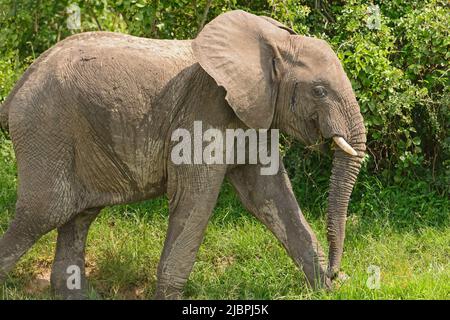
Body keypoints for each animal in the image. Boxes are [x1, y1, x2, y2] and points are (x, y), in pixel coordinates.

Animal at [0, 10, 366, 300]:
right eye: (319, 91)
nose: (338, 272)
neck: (273, 42)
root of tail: (20, 84)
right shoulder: (204, 111)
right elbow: (196, 199)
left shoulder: (252, 113)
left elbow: (269, 196)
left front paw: (326, 289)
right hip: (46, 127)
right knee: (45, 211)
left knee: (79, 214)